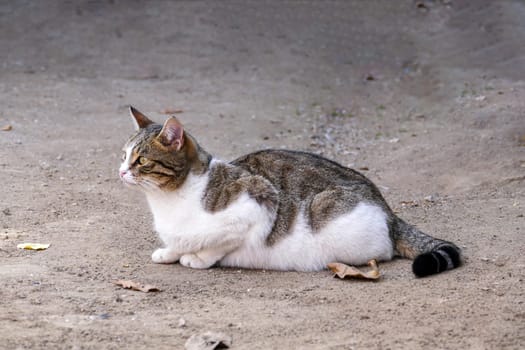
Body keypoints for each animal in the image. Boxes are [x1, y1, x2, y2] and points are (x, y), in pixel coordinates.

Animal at [117, 106, 458, 276]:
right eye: (123, 155)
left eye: (141, 160)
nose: (120, 171)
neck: (167, 201)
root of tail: (387, 209)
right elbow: (178, 241)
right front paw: (170, 251)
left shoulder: (257, 203)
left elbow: (219, 244)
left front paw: (197, 258)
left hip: (328, 212)